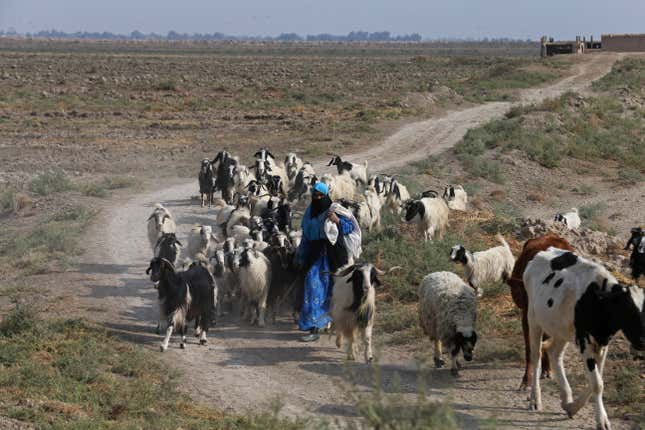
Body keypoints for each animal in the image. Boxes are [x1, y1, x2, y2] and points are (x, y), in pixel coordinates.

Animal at [524, 247, 644, 428]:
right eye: (629, 310)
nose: (642, 341)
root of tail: (543, 251)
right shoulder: (585, 341)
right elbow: (597, 384)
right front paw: (602, 421)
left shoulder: (603, 343)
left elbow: (597, 380)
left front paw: (573, 407)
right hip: (533, 318)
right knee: (536, 356)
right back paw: (535, 399)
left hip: (562, 328)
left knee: (554, 353)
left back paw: (566, 397)